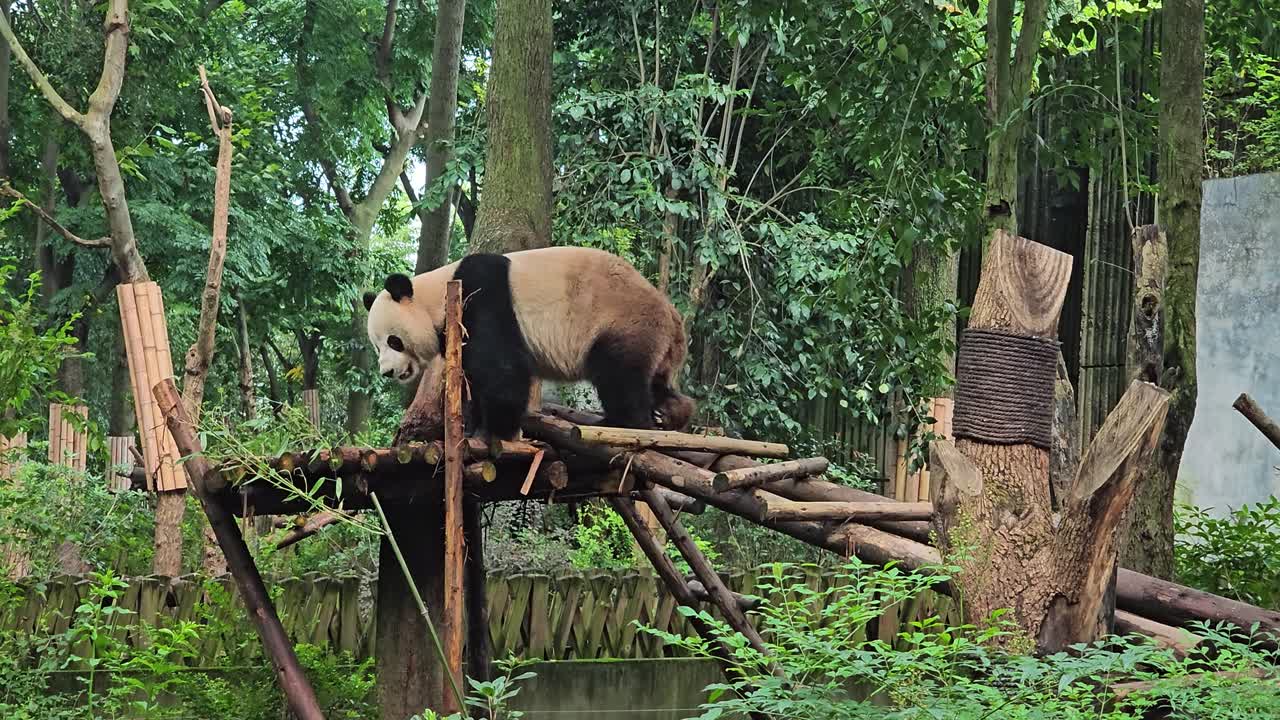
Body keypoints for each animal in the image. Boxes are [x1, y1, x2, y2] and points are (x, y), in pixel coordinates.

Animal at [363, 246, 697, 441]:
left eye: (394, 341)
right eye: (377, 347)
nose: (387, 372)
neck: (435, 294)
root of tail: (673, 319)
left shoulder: (480, 293)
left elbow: (501, 368)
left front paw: (497, 429)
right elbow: (475, 376)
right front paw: (473, 425)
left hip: (622, 321)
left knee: (619, 376)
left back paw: (624, 423)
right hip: (654, 342)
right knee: (653, 381)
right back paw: (670, 414)